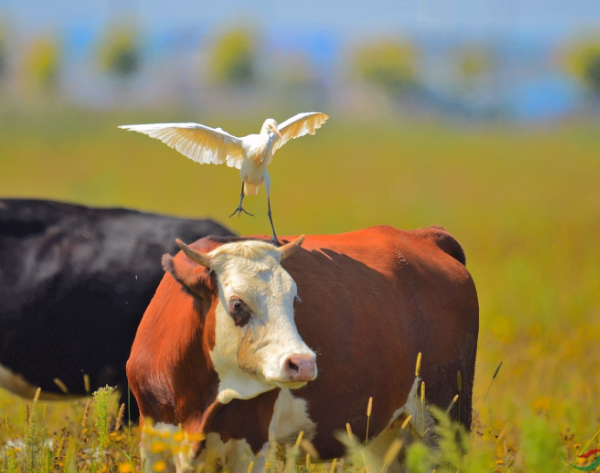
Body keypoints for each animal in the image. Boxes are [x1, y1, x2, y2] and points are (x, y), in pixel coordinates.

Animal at [126, 226, 478, 472]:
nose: (303, 363)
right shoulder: (153, 435)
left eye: (294, 298)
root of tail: (424, 237)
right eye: (237, 304)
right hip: (389, 431)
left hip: (446, 417)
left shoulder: (250, 443)